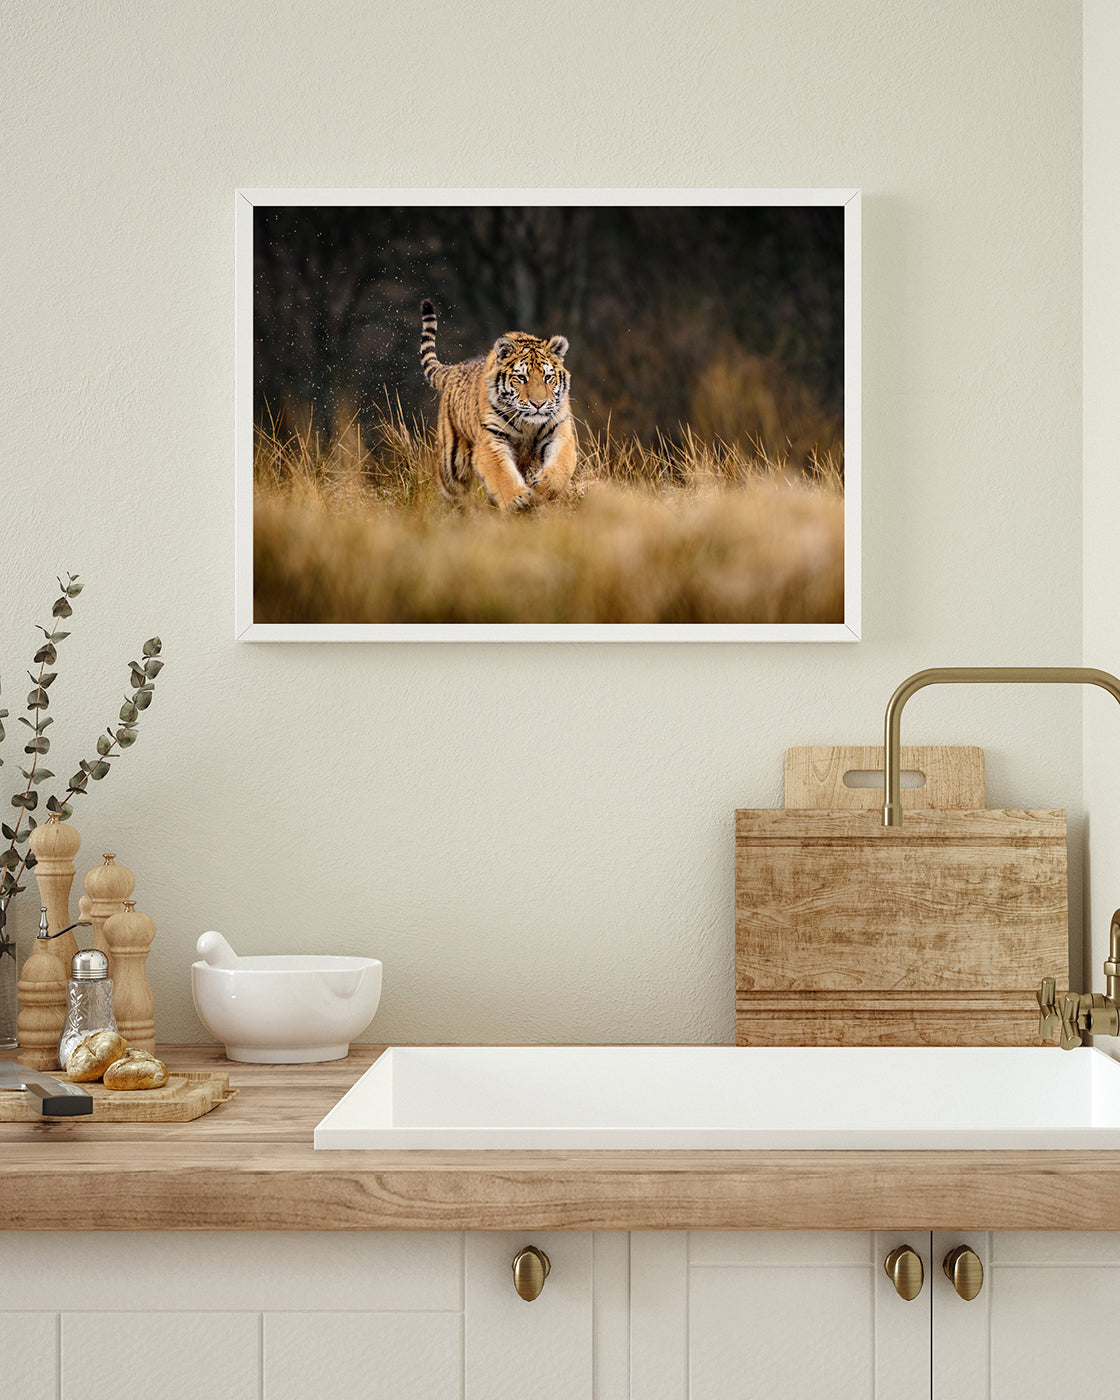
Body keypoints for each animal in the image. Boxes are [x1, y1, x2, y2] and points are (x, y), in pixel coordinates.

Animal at [420, 298, 576, 511]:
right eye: (522, 378)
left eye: (548, 377)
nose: (538, 403)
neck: (528, 424)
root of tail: (455, 368)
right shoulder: (491, 438)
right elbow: (501, 472)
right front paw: (516, 499)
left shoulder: (559, 431)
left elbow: (562, 463)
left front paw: (543, 487)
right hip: (452, 463)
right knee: (451, 492)